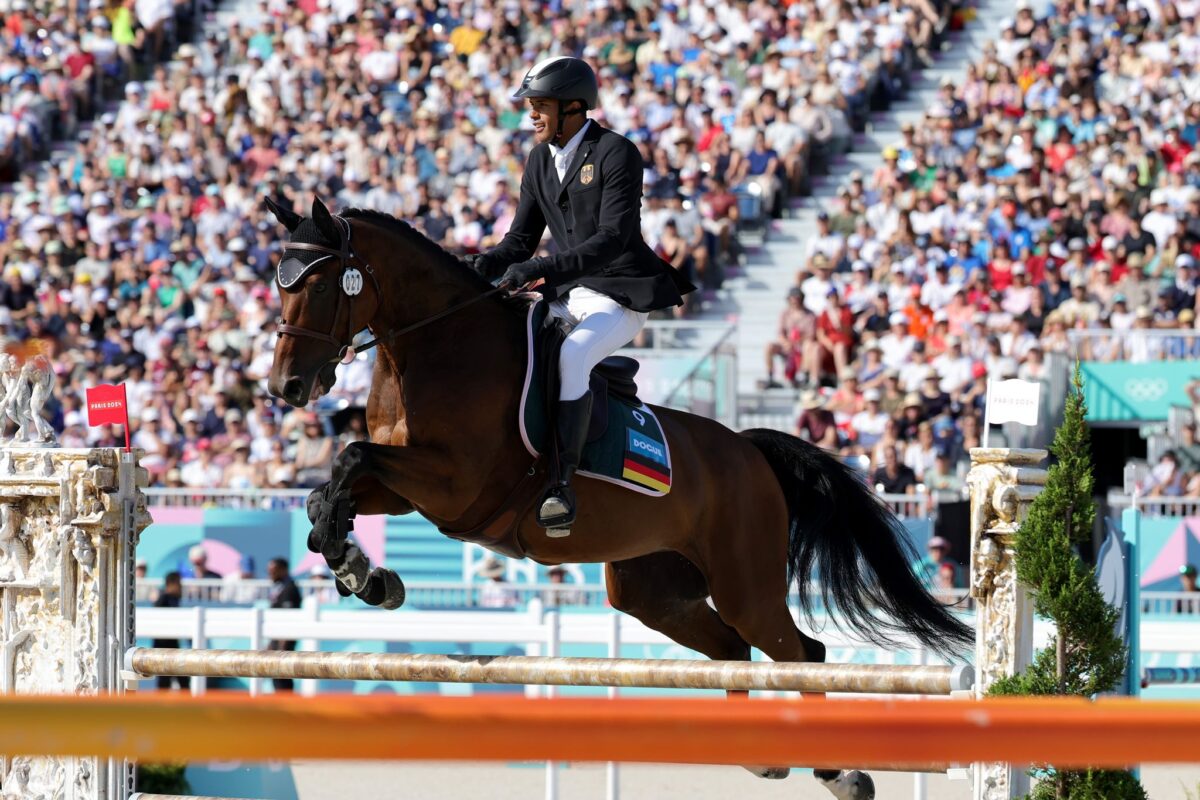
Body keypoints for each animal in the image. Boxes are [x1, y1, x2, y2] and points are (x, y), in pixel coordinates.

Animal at [265, 199, 974, 786]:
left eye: (322, 284)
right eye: (280, 281)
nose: (287, 388)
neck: (435, 347)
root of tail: (749, 451)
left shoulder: (454, 483)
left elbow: (351, 456)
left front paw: (362, 571)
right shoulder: (411, 489)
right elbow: (333, 489)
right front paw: (362, 571)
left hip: (744, 582)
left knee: (802, 652)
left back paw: (839, 772)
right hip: (653, 592)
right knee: (732, 650)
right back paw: (761, 756)